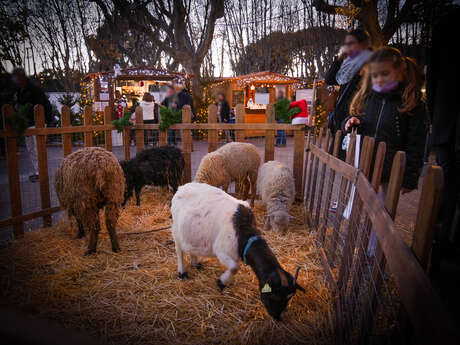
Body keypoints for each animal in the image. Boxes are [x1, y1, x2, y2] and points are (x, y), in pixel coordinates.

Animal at [171, 183, 304, 320]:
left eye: (289, 298)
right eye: (274, 295)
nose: (278, 318)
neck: (244, 232)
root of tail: (182, 187)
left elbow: (233, 268)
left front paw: (227, 281)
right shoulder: (222, 251)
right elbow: (235, 267)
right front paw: (221, 282)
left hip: (191, 232)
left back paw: (195, 263)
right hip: (176, 229)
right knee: (179, 250)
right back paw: (182, 272)